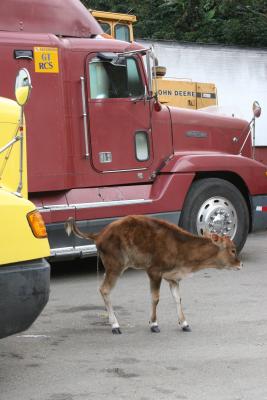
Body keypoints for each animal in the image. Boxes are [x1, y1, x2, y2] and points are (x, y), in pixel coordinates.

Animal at [65, 216, 243, 334]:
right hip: (116, 266)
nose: (241, 264)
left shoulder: (173, 277)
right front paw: (154, 324)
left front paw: (184, 323)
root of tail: (98, 235)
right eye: (233, 250)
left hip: (110, 267)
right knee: (105, 289)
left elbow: (177, 298)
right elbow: (155, 298)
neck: (181, 249)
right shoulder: (154, 271)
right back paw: (115, 325)